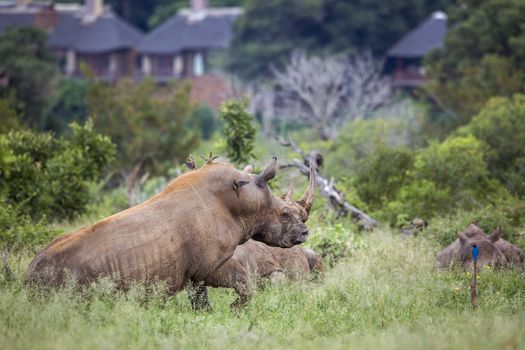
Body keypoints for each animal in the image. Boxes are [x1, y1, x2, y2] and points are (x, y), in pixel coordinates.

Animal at [27, 157, 316, 308]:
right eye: (284, 214)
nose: (304, 234)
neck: (243, 200)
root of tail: (27, 278)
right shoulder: (210, 265)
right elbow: (245, 283)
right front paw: (235, 310)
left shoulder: (195, 273)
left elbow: (200, 300)